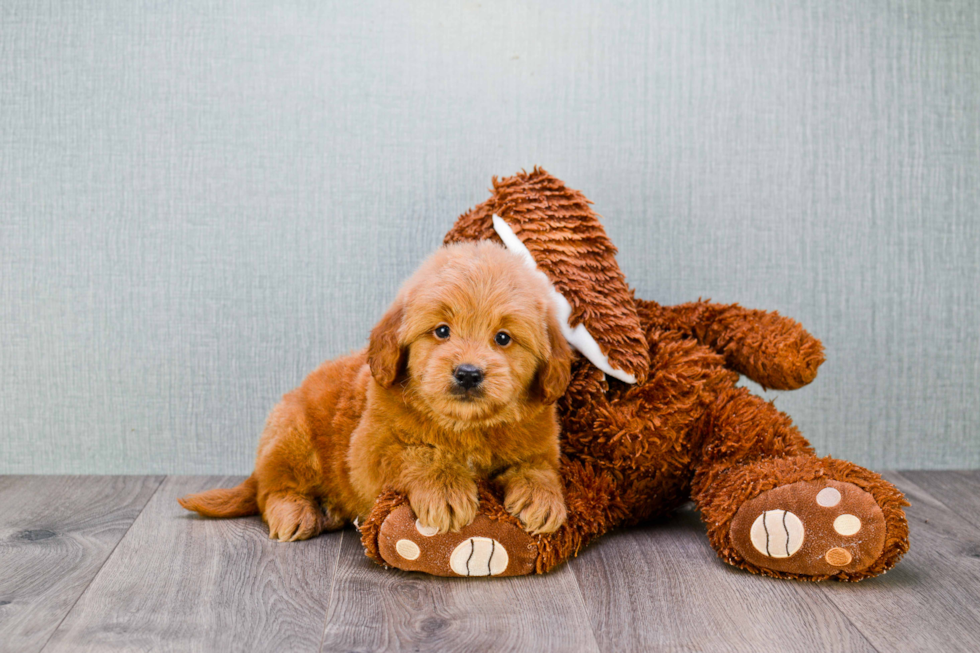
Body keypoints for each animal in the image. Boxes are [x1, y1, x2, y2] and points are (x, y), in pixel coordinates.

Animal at [180, 239, 572, 540]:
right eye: (442, 331)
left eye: (503, 338)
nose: (468, 373)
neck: (466, 426)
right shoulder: (368, 450)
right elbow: (419, 453)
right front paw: (445, 489)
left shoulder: (542, 445)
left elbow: (538, 467)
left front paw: (541, 497)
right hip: (293, 437)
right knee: (272, 489)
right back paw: (295, 512)